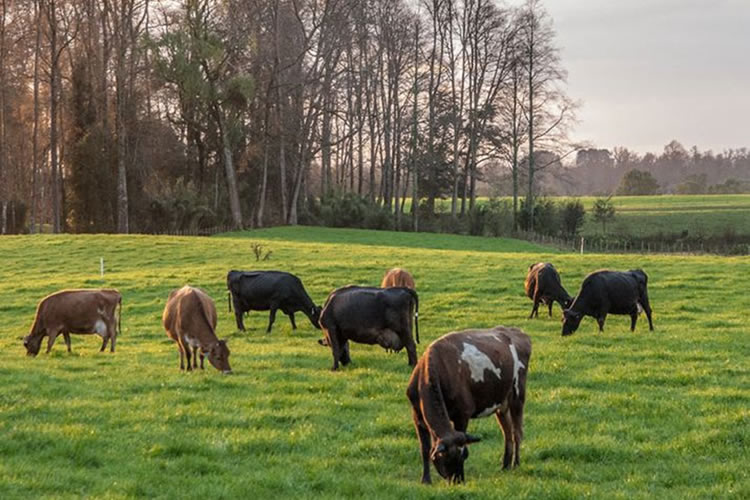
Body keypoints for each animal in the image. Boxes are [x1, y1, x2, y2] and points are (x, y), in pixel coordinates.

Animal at [406, 326, 536, 482]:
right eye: (447, 459)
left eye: (463, 457)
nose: (457, 481)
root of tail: (516, 331)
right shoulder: (417, 416)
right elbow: (424, 449)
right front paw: (426, 480)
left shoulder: (462, 415)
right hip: (501, 405)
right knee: (507, 433)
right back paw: (505, 466)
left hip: (517, 396)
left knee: (517, 432)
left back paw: (516, 464)